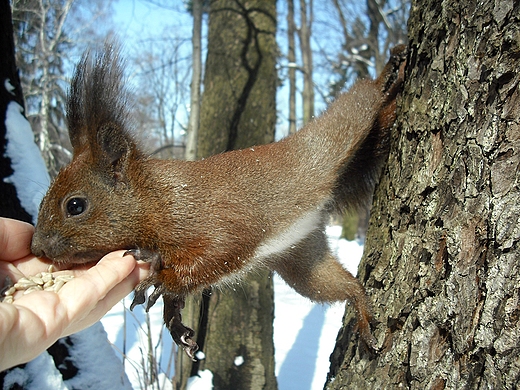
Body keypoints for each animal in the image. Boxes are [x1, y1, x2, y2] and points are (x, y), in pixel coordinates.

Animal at [31, 42, 406, 360]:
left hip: (341, 127)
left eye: (75, 206)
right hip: (303, 261)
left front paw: (162, 281)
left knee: (364, 97)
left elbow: (217, 254)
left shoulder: (216, 221)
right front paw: (174, 320)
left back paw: (391, 72)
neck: (155, 198)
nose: (37, 247)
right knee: (344, 287)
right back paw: (362, 312)